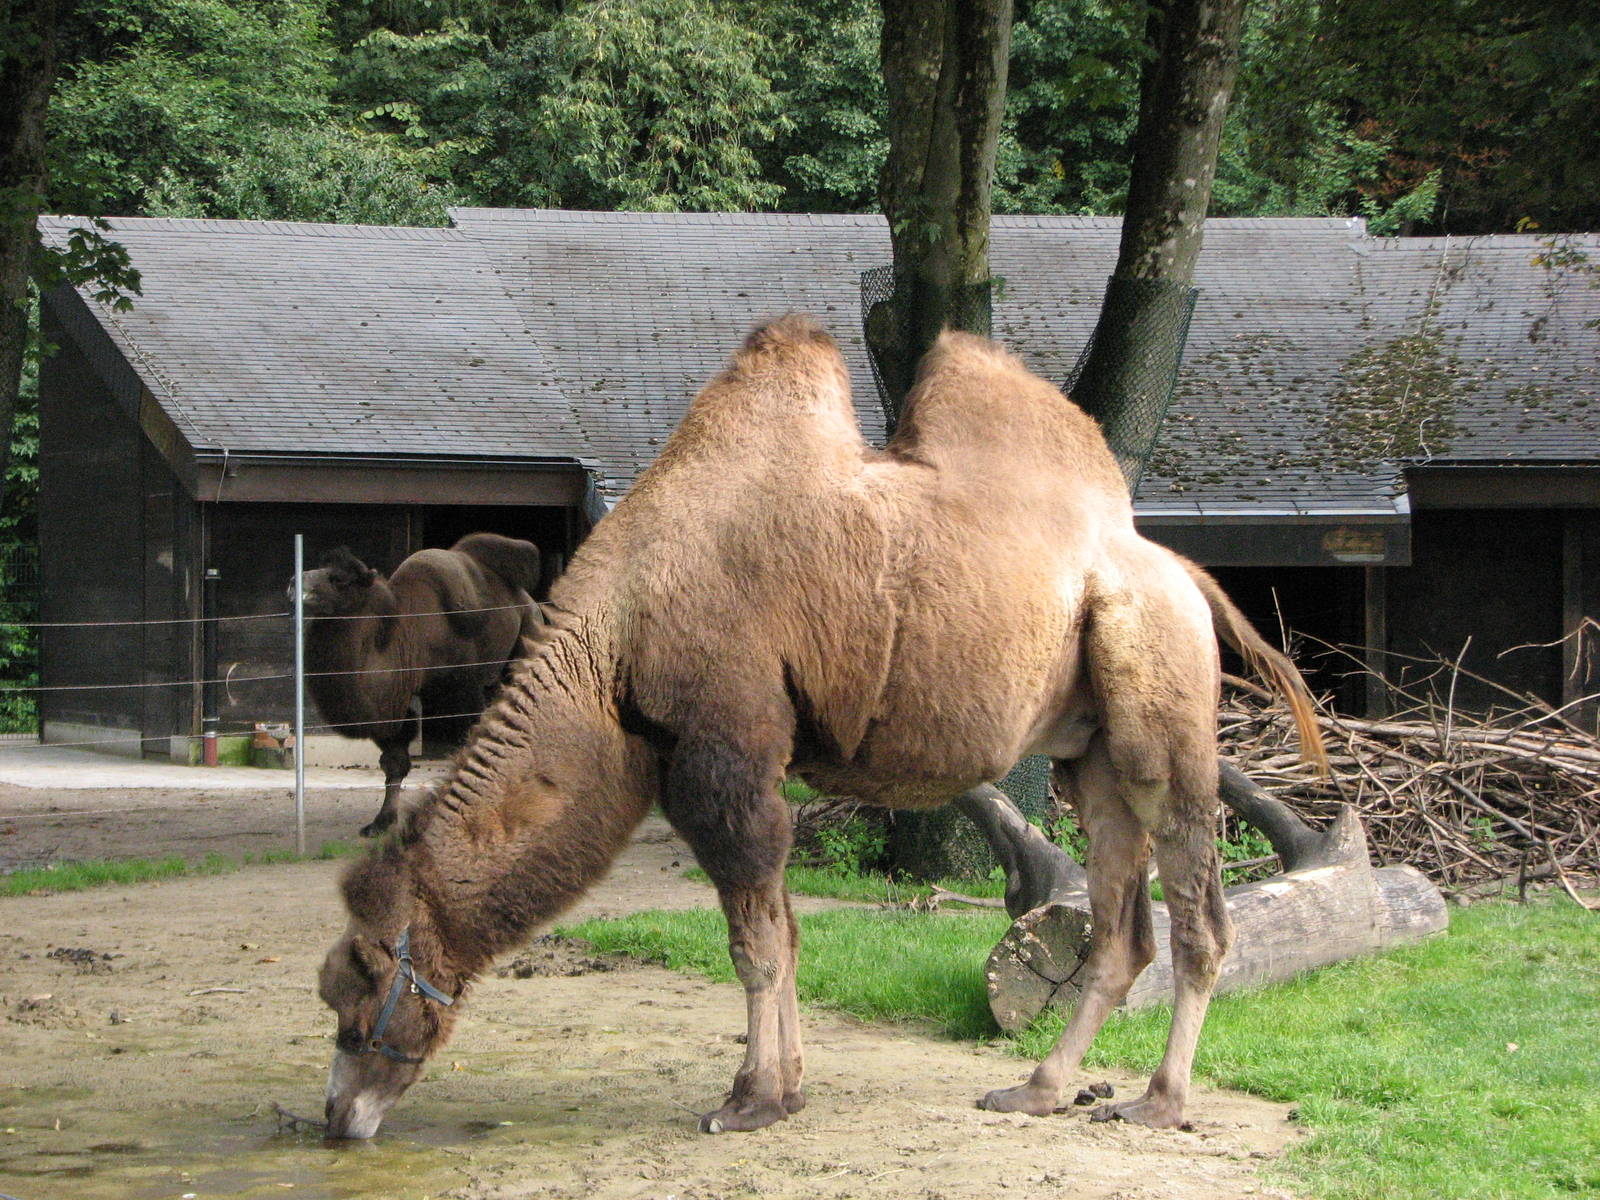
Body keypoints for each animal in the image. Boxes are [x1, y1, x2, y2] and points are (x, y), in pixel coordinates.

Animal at [297, 533, 543, 836]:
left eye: (339, 579)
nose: (295, 584)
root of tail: (531, 604)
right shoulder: (394, 708)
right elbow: (394, 762)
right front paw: (381, 822)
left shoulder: (462, 692)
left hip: (525, 643)